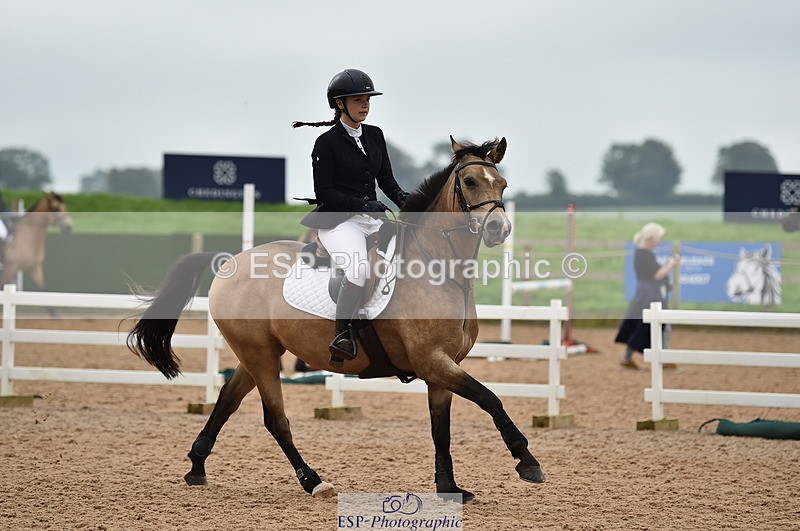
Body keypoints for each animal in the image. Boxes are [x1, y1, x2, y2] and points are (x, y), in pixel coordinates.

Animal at [127, 136, 545, 502]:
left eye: (502, 183)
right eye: (470, 181)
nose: (499, 228)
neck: (440, 270)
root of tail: (230, 262)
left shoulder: (441, 367)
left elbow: (440, 429)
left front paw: (449, 487)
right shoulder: (432, 361)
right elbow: (490, 399)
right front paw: (527, 462)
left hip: (258, 353)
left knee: (227, 400)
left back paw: (197, 466)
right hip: (259, 355)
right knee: (276, 420)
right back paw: (314, 481)